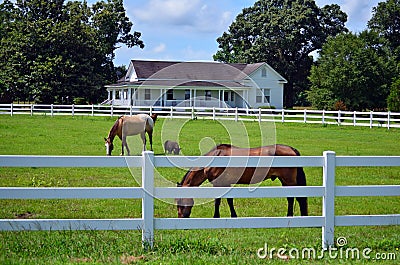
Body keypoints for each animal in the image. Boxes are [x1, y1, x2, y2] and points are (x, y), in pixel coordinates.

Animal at [177, 144, 308, 217]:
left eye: (179, 202)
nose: (180, 217)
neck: (215, 157)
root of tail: (291, 149)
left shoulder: (219, 183)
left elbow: (218, 201)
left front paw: (216, 216)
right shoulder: (226, 183)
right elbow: (229, 200)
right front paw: (233, 215)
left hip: (289, 181)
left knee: (295, 198)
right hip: (284, 181)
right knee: (291, 198)